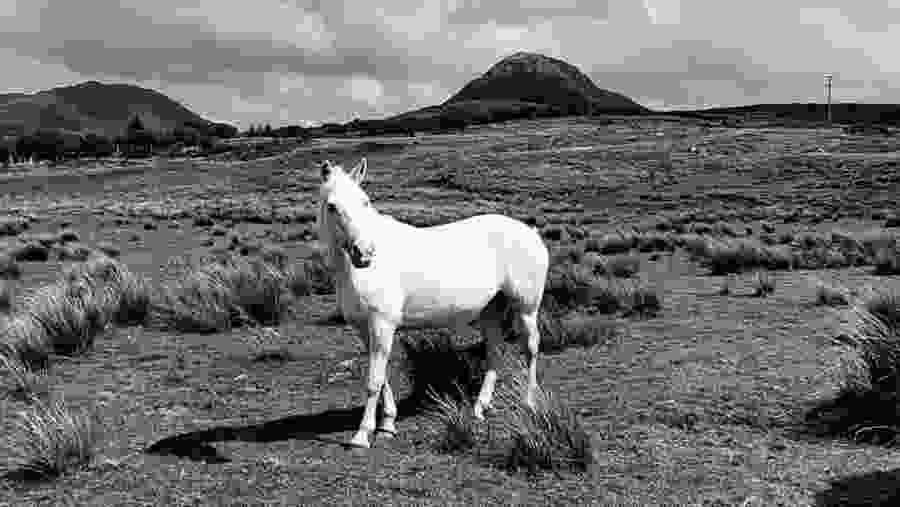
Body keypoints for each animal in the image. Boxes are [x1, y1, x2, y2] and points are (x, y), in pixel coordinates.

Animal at [316, 158, 550, 448]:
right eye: (332, 206)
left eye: (365, 201)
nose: (364, 253)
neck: (353, 271)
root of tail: (530, 231)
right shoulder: (364, 329)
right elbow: (382, 378)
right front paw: (387, 425)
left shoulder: (382, 324)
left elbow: (374, 381)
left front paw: (362, 435)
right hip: (490, 311)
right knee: (495, 350)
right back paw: (479, 408)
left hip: (526, 308)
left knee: (530, 348)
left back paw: (529, 404)